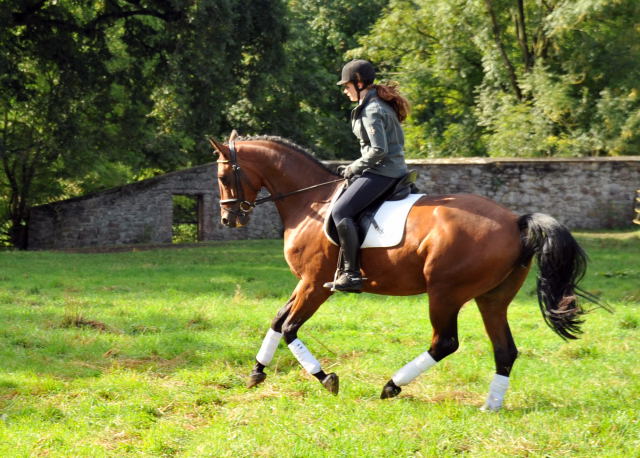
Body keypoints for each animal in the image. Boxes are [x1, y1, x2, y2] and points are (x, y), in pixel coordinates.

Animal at [209, 134, 596, 410]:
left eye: (223, 175)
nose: (229, 218)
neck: (312, 203)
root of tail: (515, 221)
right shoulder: (306, 283)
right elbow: (277, 320)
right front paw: (256, 372)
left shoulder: (316, 284)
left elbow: (290, 327)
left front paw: (327, 379)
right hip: (492, 298)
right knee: (505, 350)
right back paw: (491, 405)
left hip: (445, 293)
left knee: (445, 343)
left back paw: (391, 386)